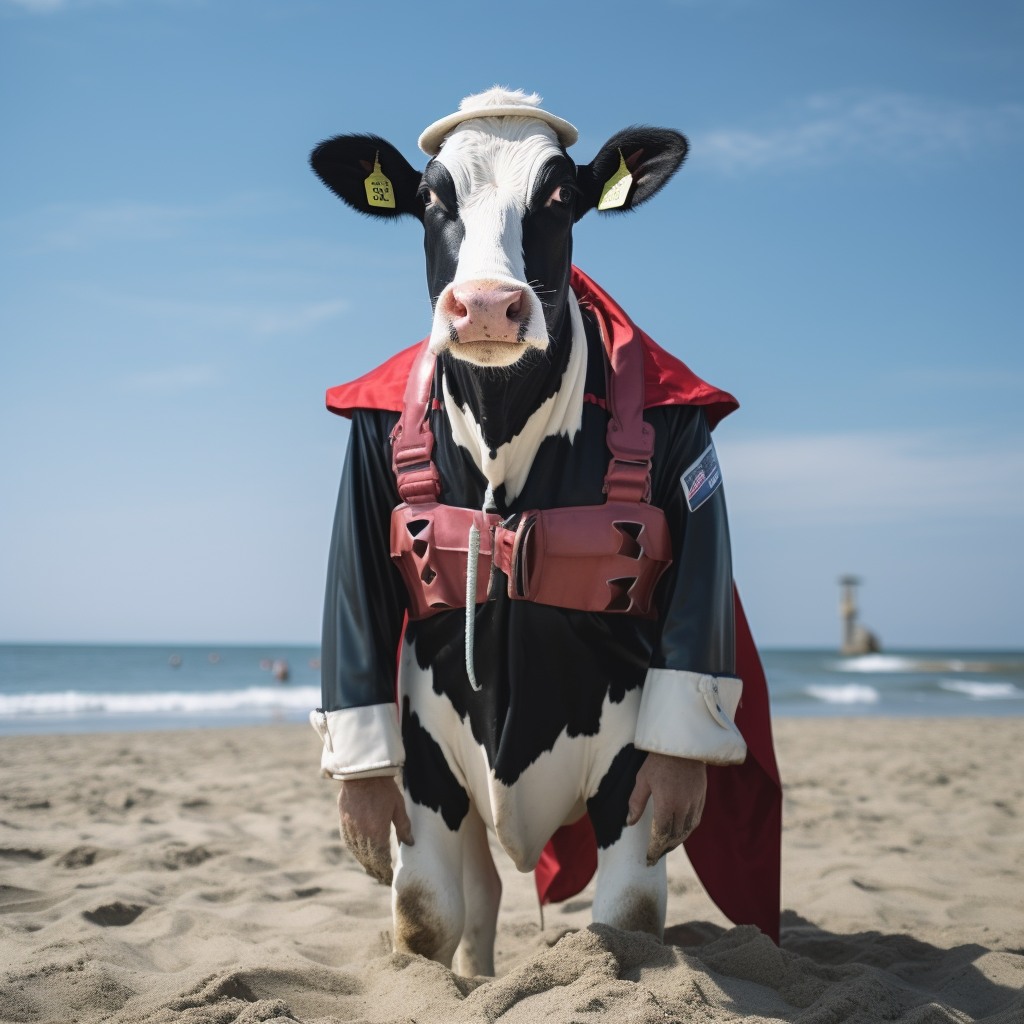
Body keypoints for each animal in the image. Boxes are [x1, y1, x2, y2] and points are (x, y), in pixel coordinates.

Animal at [307, 90, 778, 974]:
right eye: (432, 199)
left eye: (560, 196)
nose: (489, 305)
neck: (502, 424)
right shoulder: (423, 767)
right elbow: (424, 918)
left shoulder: (634, 771)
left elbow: (627, 919)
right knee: (480, 895)